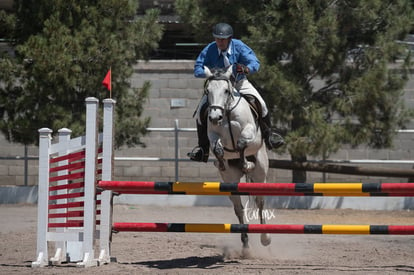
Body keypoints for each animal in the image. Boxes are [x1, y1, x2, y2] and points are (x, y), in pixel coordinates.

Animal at [204, 66, 272, 256]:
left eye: (226, 91)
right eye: (207, 91)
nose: (214, 117)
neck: (226, 112)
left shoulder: (248, 130)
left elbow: (241, 143)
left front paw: (245, 163)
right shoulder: (213, 135)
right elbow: (218, 148)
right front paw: (221, 162)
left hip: (260, 175)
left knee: (260, 202)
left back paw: (265, 238)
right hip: (231, 182)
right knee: (239, 209)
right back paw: (246, 246)